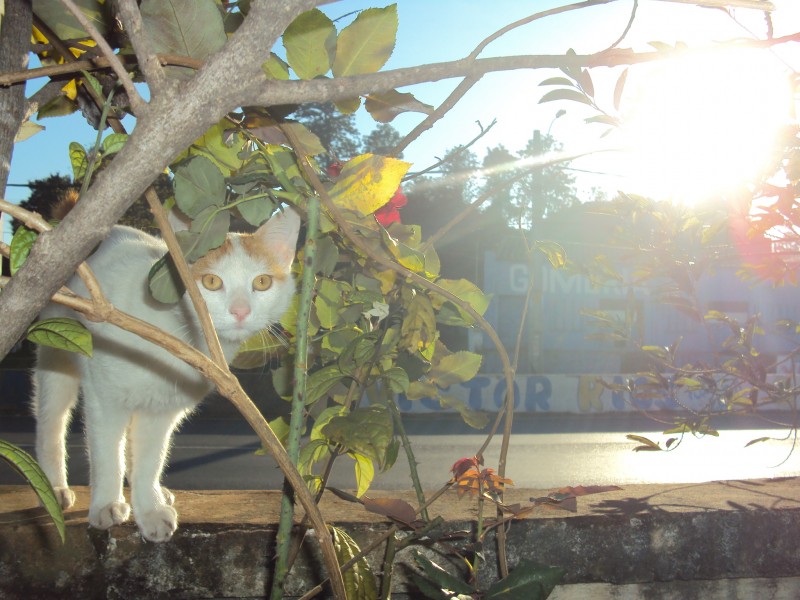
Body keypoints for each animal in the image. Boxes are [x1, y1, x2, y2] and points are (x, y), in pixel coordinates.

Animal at [31, 202, 300, 544]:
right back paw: (54, 487)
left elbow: (151, 459)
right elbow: (106, 454)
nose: (240, 311)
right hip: (56, 350)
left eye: (262, 283)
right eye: (211, 282)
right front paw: (106, 503)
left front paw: (149, 508)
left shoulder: (162, 411)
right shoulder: (105, 399)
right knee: (51, 422)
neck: (178, 332)